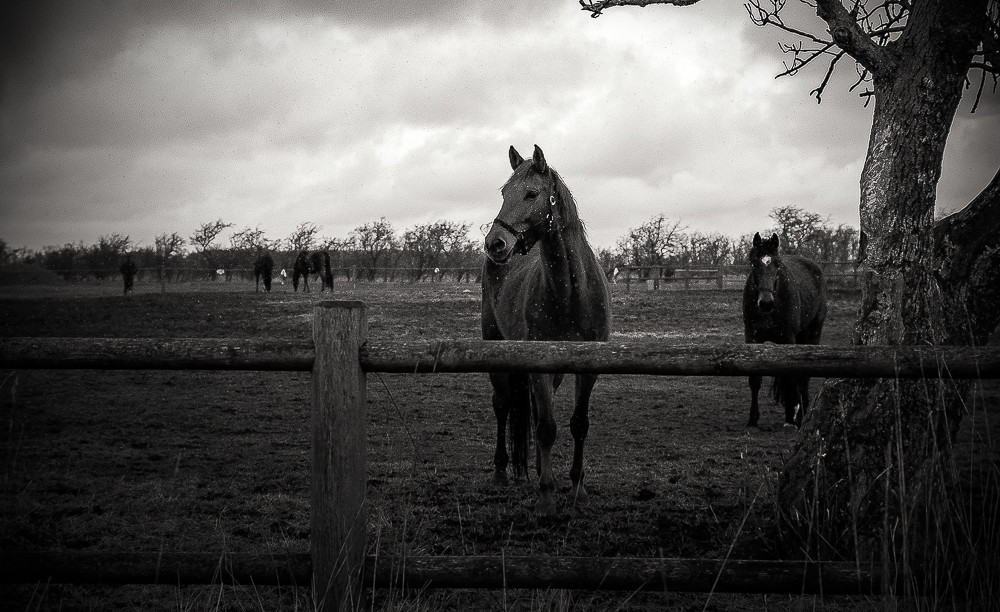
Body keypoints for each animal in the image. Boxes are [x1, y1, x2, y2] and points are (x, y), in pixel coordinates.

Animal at [482, 144, 611, 516]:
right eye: (504, 193)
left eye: (531, 193)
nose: (495, 243)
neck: (571, 295)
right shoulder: (539, 366)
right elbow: (545, 427)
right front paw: (547, 496)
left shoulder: (587, 369)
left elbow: (577, 424)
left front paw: (577, 489)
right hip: (496, 349)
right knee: (503, 404)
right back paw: (502, 472)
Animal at [742, 232, 827, 428]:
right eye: (754, 263)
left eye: (777, 265)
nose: (766, 303)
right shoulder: (753, 339)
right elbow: (755, 379)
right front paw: (753, 418)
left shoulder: (787, 338)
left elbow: (790, 376)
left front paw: (791, 418)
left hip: (812, 335)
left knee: (803, 377)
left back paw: (801, 413)